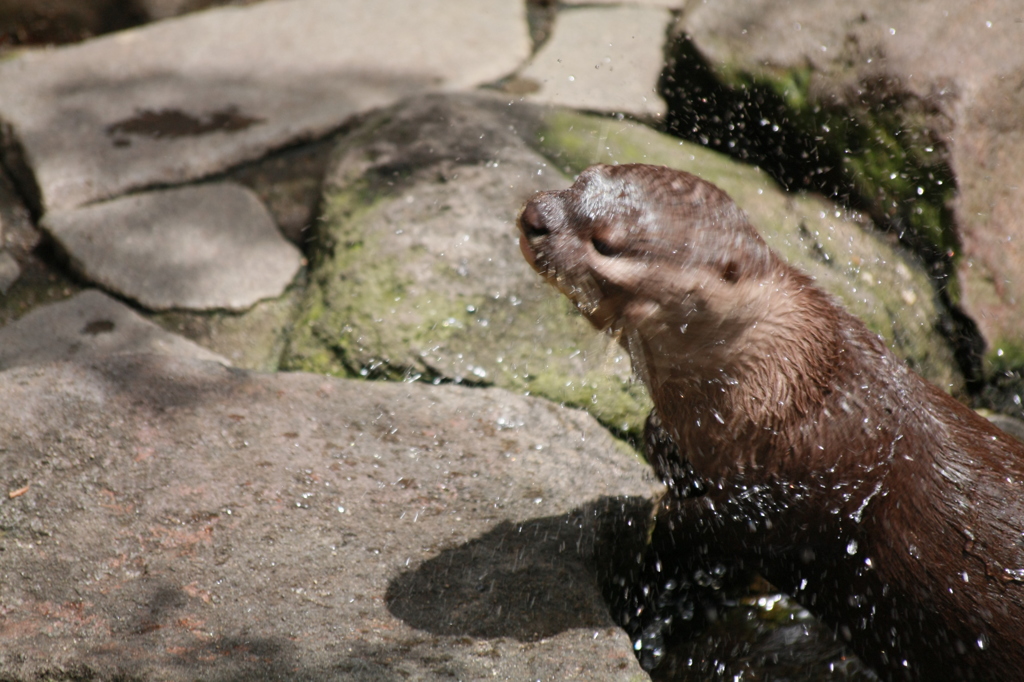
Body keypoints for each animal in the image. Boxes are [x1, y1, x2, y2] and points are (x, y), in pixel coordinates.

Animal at [520, 164, 1024, 679]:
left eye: (606, 242)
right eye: (579, 180)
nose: (535, 216)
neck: (800, 396)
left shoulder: (815, 482)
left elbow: (732, 523)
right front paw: (663, 447)